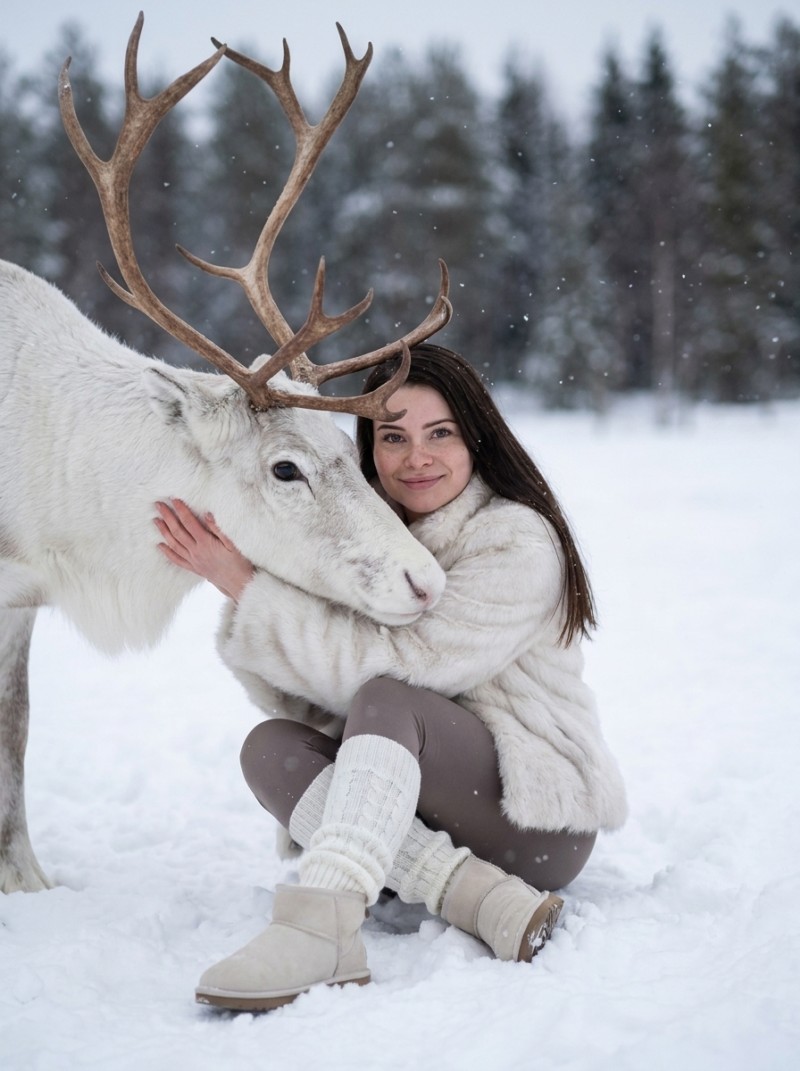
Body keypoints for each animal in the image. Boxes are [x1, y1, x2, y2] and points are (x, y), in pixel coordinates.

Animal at [0, 14, 453, 894]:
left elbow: (18, 729)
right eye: (285, 467)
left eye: (352, 450)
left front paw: (28, 880)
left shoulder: (20, 600)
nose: (426, 580)